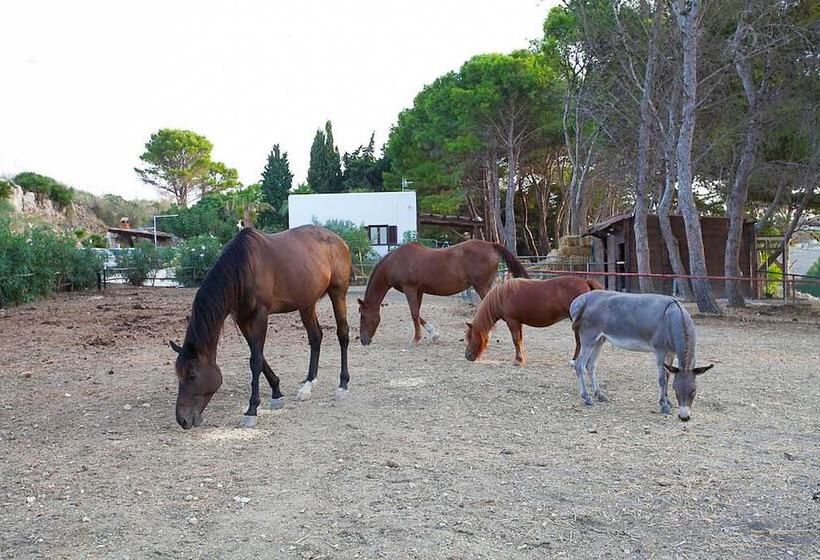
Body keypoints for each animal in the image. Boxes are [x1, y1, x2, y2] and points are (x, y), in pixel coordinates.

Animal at [169, 225, 351, 429]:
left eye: (192, 376)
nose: (182, 420)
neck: (242, 269)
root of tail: (338, 240)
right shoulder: (243, 319)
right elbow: (259, 357)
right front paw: (276, 393)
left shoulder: (260, 316)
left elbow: (255, 360)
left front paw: (252, 409)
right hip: (307, 303)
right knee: (315, 337)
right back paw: (307, 386)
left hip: (337, 293)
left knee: (342, 334)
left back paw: (342, 385)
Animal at [358, 240, 530, 346]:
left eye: (363, 316)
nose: (364, 341)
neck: (395, 262)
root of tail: (490, 244)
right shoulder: (418, 291)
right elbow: (418, 314)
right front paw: (433, 334)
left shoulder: (410, 289)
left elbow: (414, 313)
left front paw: (416, 339)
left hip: (482, 286)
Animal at [464, 276, 602, 366]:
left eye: (470, 336)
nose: (467, 356)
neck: (501, 297)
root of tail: (586, 282)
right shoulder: (518, 322)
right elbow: (520, 340)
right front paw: (522, 358)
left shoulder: (512, 321)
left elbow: (515, 340)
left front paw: (518, 360)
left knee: (581, 341)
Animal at [569, 290, 713, 421]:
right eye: (676, 390)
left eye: (693, 390)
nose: (684, 417)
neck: (673, 318)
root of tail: (580, 300)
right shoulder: (660, 351)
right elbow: (662, 379)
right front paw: (664, 405)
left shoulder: (671, 353)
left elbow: (667, 376)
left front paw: (668, 401)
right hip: (588, 337)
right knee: (579, 365)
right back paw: (586, 397)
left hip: (600, 339)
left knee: (590, 365)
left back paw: (599, 394)